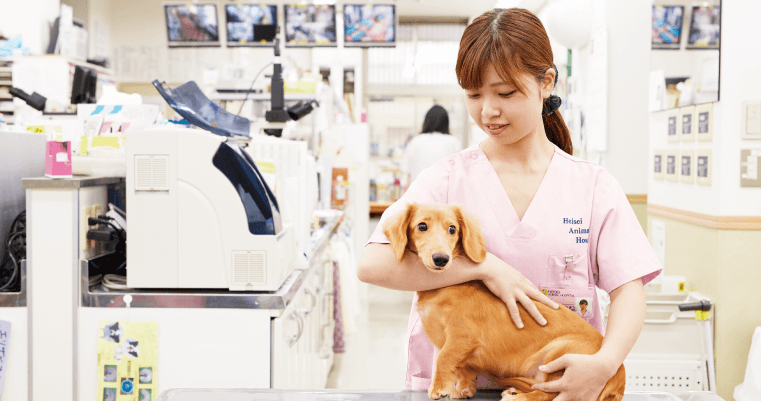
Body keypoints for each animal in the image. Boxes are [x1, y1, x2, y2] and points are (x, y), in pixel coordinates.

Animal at [382, 203, 628, 400]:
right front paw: (463, 389)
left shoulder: (462, 335)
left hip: (561, 355)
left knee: (550, 394)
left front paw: (439, 388)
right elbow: (462, 368)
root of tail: (619, 380)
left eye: (452, 229)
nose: (441, 259)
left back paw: (519, 397)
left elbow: (444, 358)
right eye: (422, 226)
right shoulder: (464, 352)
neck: (442, 288)